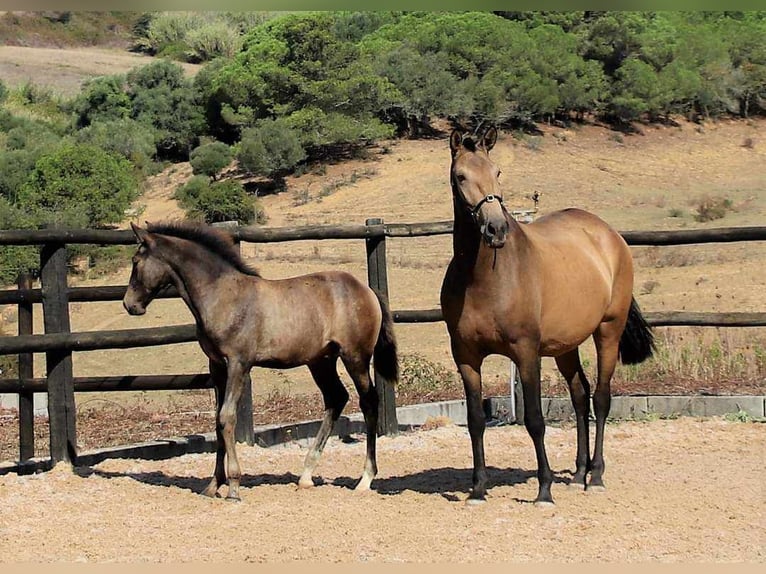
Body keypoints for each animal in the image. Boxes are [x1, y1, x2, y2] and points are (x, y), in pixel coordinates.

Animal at [123, 223, 400, 502]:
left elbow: (227, 417)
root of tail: (367, 290)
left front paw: (233, 488)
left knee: (368, 402)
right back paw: (306, 476)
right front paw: (212, 486)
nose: (129, 305)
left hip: (355, 357)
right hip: (321, 361)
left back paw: (365, 479)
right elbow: (217, 421)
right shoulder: (217, 366)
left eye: (136, 261)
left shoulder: (238, 364)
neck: (224, 296)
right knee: (336, 398)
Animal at [440, 127, 656, 508]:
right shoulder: (465, 356)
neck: (482, 279)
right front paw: (478, 490)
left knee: (601, 398)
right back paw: (579, 474)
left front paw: (544, 490)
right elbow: (476, 420)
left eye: (497, 171)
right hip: (565, 347)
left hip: (608, 331)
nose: (495, 229)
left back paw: (595, 477)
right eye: (460, 176)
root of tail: (608, 234)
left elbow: (535, 420)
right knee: (580, 395)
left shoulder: (526, 353)